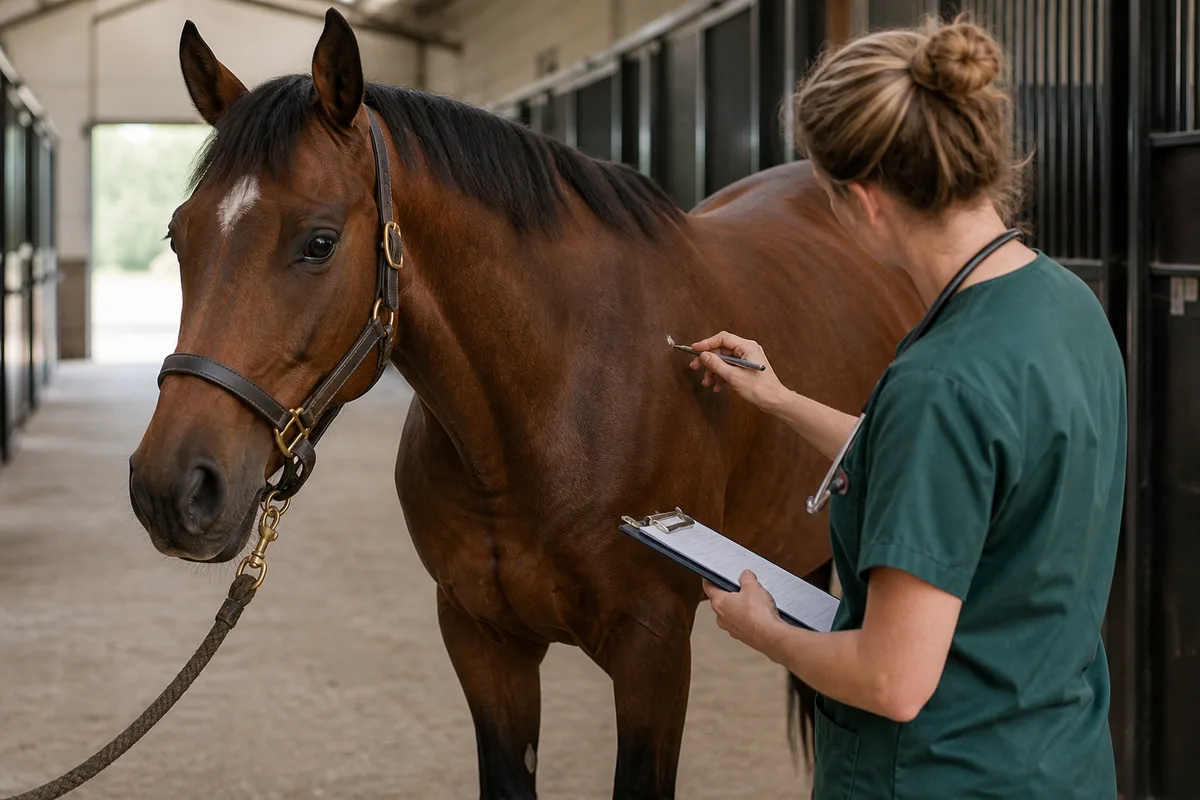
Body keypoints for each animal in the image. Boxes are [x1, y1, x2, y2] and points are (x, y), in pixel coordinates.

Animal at [127, 9, 924, 798]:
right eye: (178, 234)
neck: (548, 409)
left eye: (318, 243)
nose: (171, 488)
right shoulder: (484, 642)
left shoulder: (654, 653)